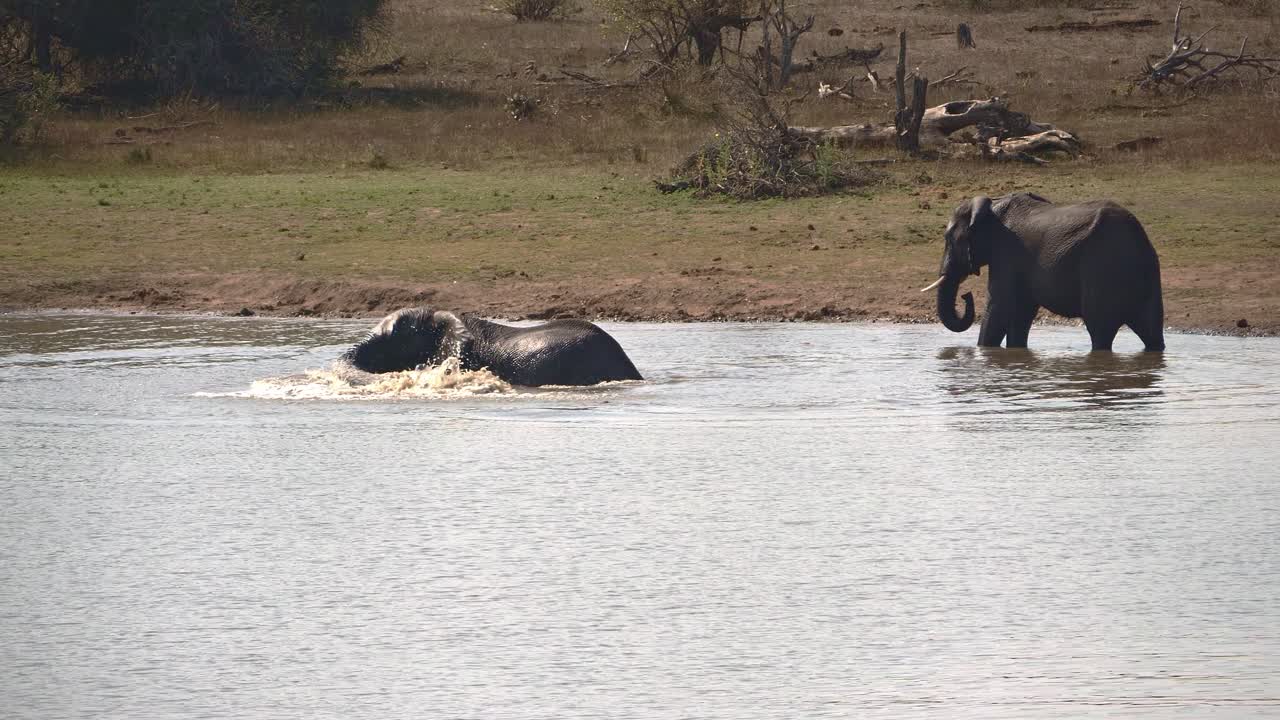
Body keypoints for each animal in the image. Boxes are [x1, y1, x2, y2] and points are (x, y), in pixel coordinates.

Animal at [923, 193, 1165, 351]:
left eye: (948, 239)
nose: (966, 295)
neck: (993, 205)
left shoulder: (1006, 252)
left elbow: (1000, 305)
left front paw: (984, 351)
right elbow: (1020, 312)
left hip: (1102, 268)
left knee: (1100, 330)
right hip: (1147, 273)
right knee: (1152, 330)